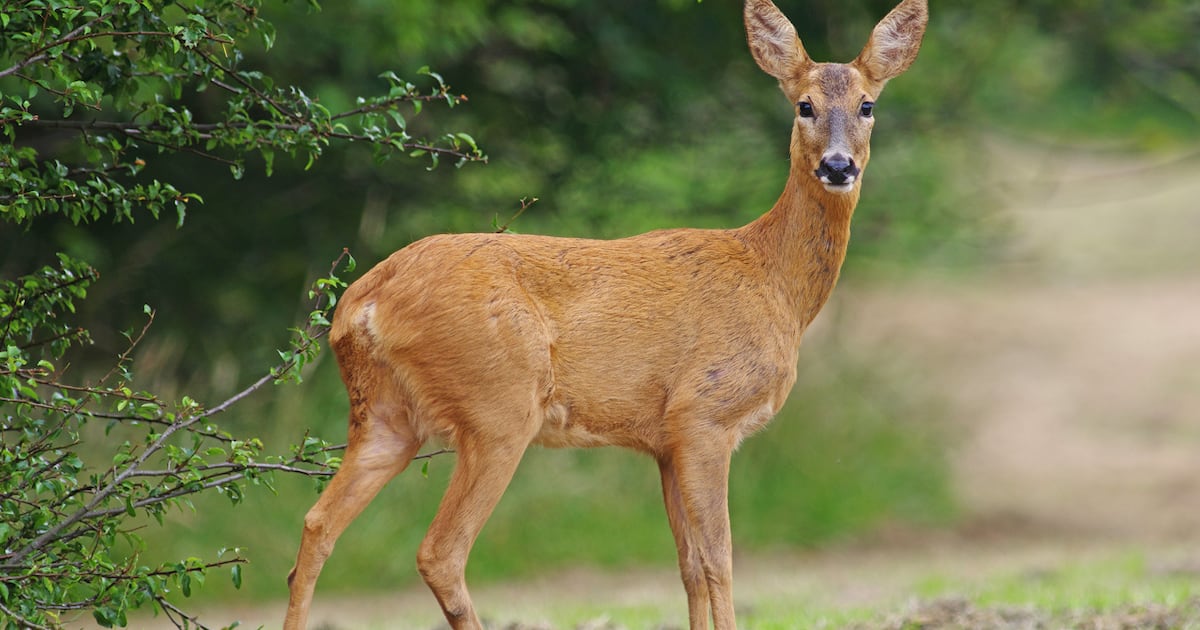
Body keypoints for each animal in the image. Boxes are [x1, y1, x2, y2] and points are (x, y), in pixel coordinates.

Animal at [284, 0, 926, 628]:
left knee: (316, 526)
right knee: (440, 552)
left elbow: (689, 566)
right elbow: (720, 559)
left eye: (867, 104)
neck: (774, 282)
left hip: (386, 414)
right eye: (804, 105)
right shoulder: (704, 413)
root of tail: (362, 303)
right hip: (498, 404)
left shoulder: (664, 440)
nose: (839, 166)